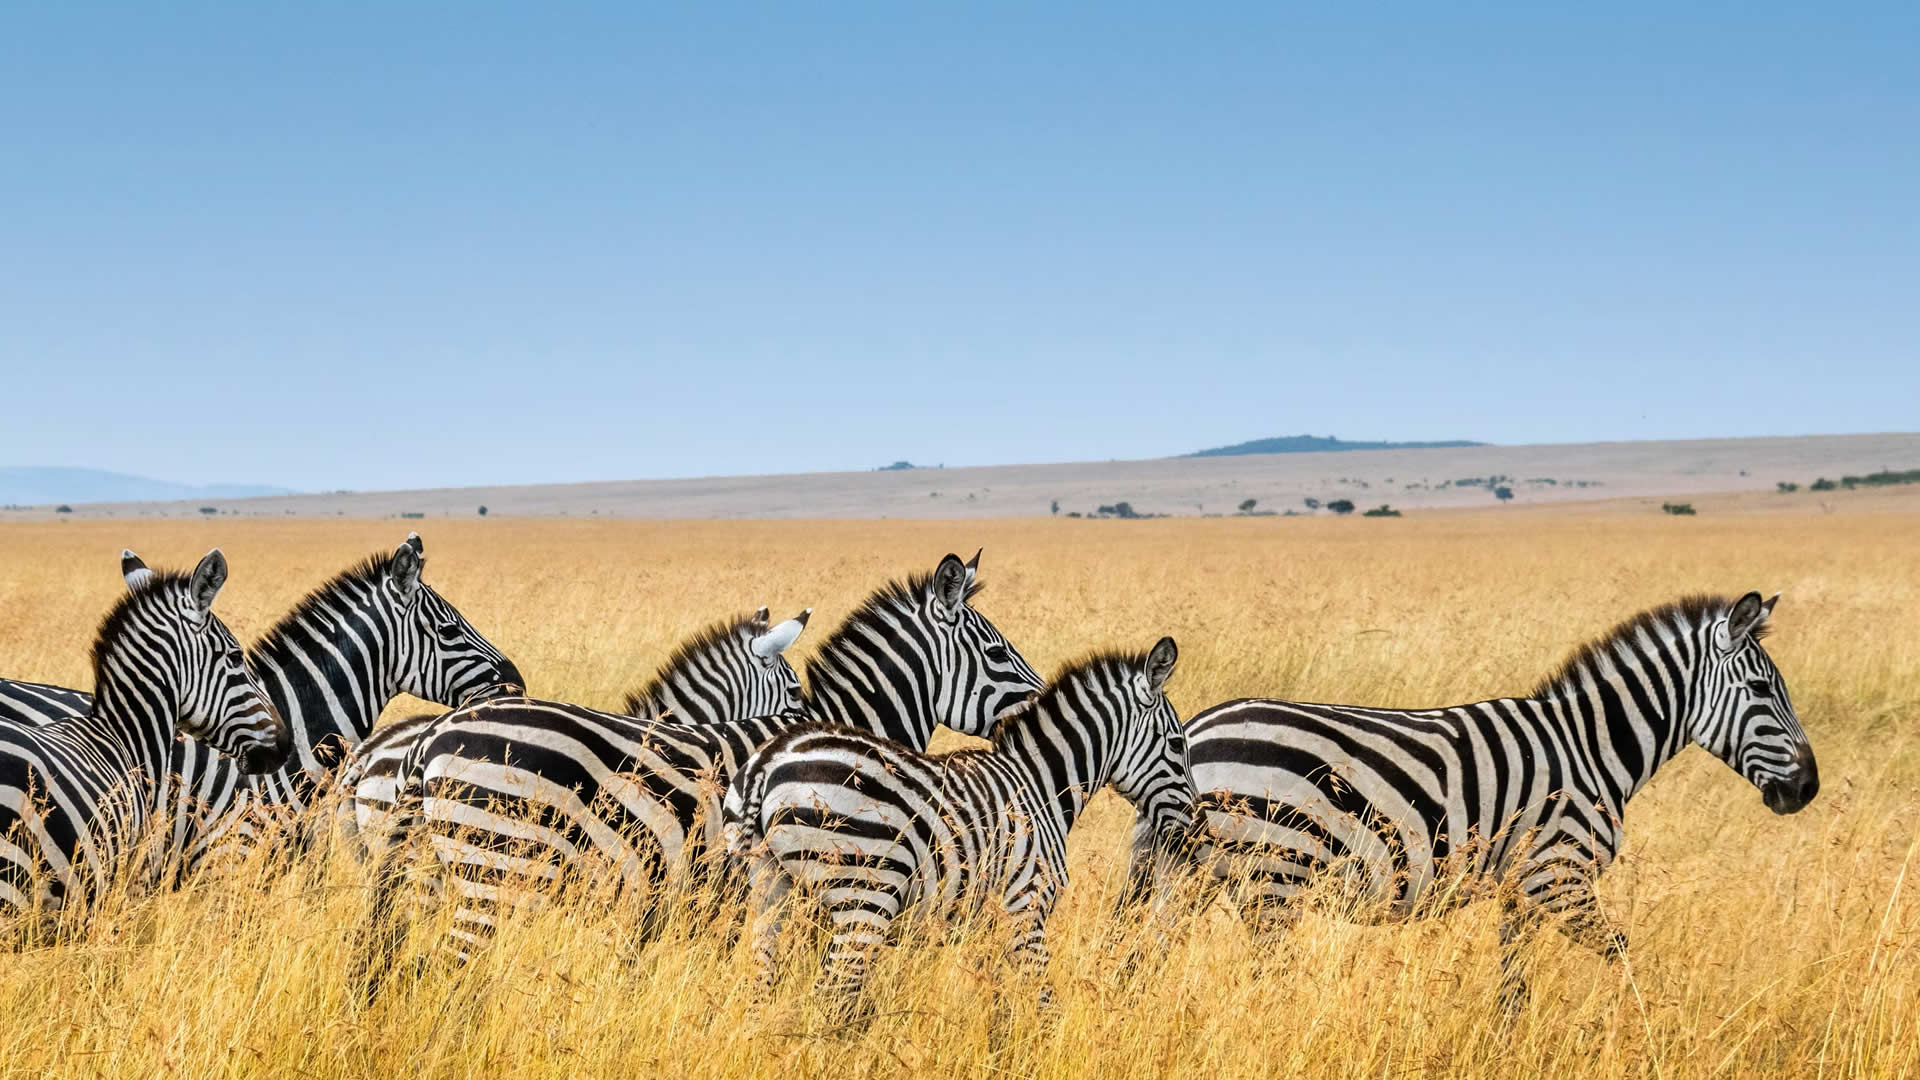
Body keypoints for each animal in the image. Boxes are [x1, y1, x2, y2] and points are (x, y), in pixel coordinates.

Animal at [723, 637, 1192, 1017]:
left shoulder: (985, 920)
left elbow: (999, 1000)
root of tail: (770, 762)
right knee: (831, 995)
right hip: (864, 898)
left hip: (770, 890)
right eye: (1177, 743)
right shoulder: (1026, 906)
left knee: (761, 988)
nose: (1193, 824)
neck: (1041, 785)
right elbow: (1042, 1000)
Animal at [1143, 591, 1818, 1009]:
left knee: (1143, 955)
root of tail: (1194, 730)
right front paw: (1649, 1031)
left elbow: (1514, 986)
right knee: (1261, 978)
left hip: (1195, 874)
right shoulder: (1559, 876)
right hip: (1273, 877)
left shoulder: (1523, 888)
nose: (1807, 789)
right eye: (1763, 690)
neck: (1591, 746)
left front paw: (1505, 1046)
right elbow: (1625, 959)